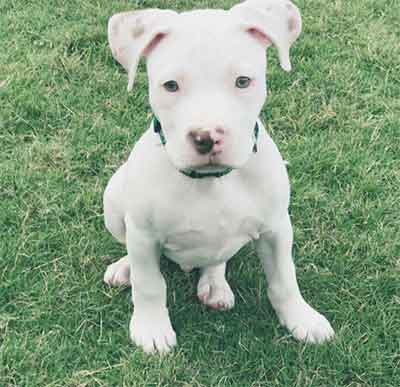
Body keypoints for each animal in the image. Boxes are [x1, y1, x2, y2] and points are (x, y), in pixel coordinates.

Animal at [103, 0, 334, 354]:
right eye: (171, 86)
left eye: (243, 81)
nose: (206, 137)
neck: (211, 181)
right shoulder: (142, 234)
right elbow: (149, 283)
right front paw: (151, 328)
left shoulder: (277, 229)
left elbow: (284, 279)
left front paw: (302, 319)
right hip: (113, 199)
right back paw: (124, 267)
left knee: (216, 259)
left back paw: (215, 286)